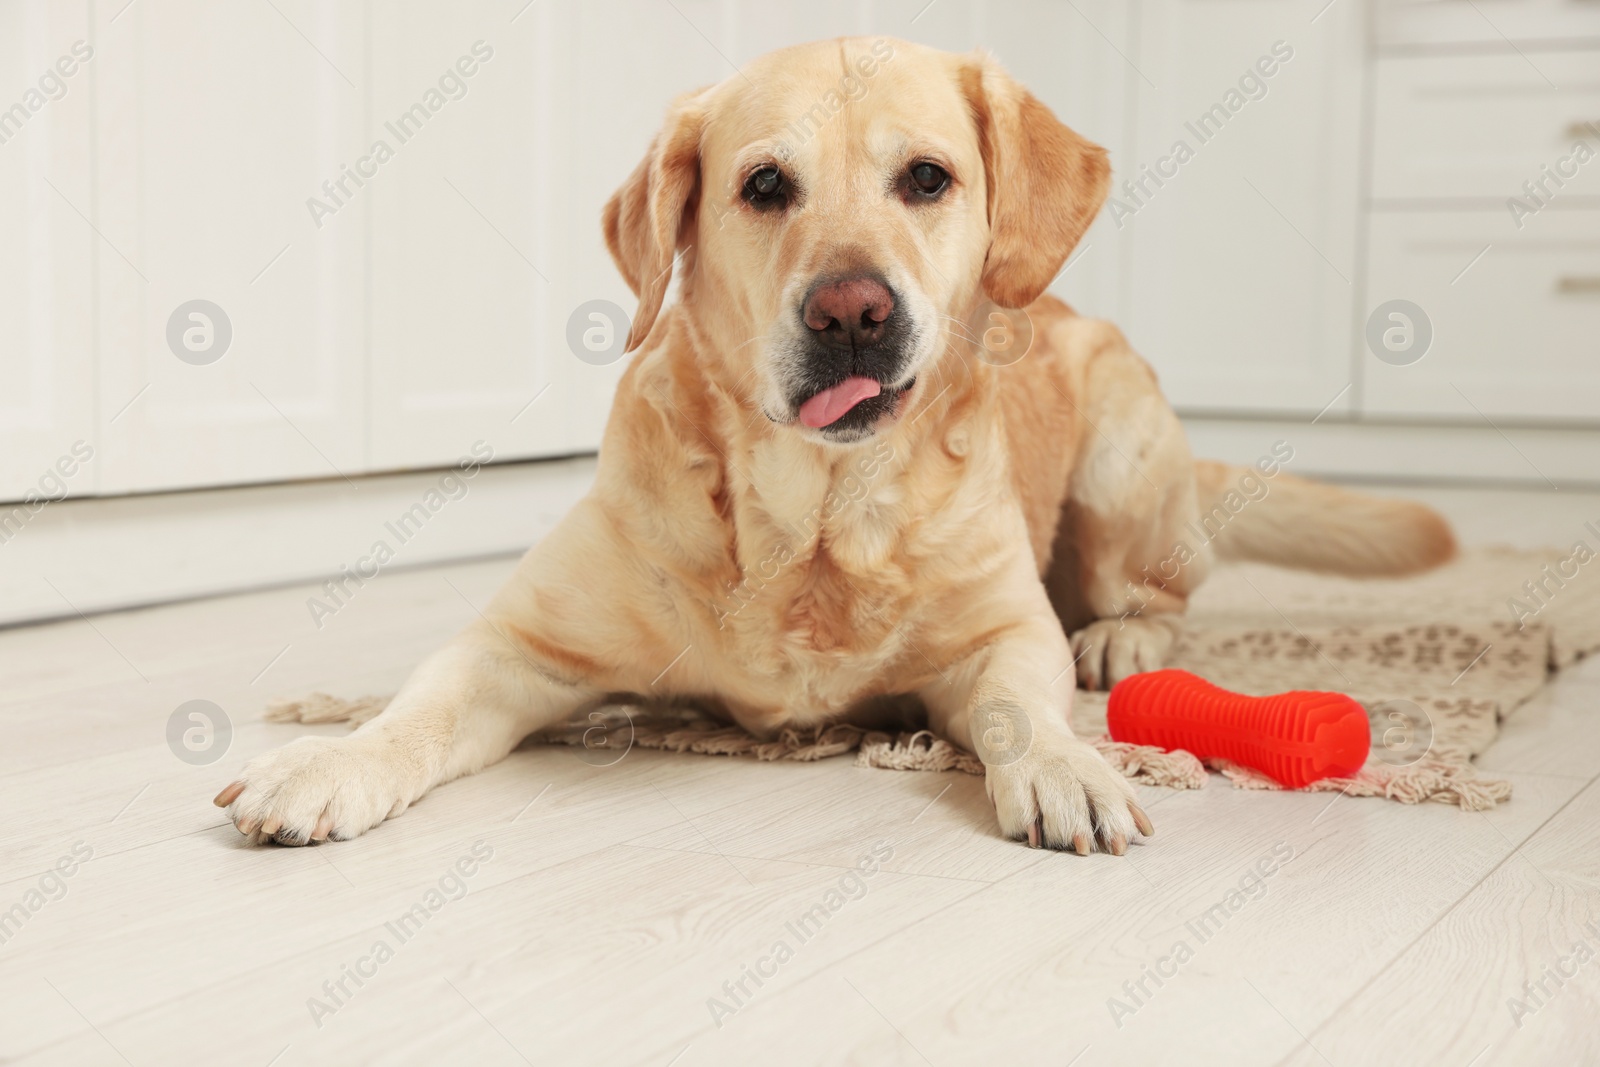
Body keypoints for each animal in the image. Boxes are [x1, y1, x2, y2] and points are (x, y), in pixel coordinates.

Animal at [219, 37, 1459, 857]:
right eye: (764, 184)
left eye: (927, 177)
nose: (853, 312)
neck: (810, 519)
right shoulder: (520, 645)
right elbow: (415, 709)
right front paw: (328, 755)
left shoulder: (1003, 630)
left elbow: (1023, 701)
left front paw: (1071, 765)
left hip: (1118, 459)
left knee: (1152, 594)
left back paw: (1117, 639)